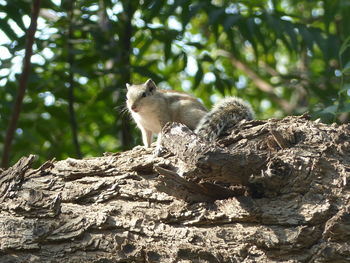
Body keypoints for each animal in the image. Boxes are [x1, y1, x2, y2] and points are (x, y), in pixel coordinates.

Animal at [126, 79, 254, 156]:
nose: (132, 107)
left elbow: (161, 137)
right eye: (127, 97)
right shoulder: (144, 128)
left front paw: (158, 148)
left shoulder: (165, 121)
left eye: (144, 94)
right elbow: (146, 139)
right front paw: (143, 148)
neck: (144, 113)